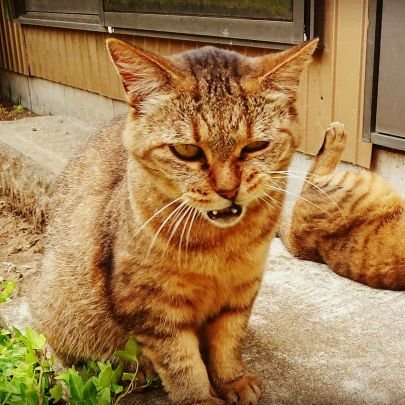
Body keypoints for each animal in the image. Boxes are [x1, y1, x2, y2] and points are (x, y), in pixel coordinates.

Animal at [30, 37, 318, 400]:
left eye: (256, 146)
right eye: (187, 150)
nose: (229, 189)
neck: (220, 245)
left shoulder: (241, 291)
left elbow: (228, 342)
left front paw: (232, 380)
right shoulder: (150, 305)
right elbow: (181, 362)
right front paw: (201, 398)